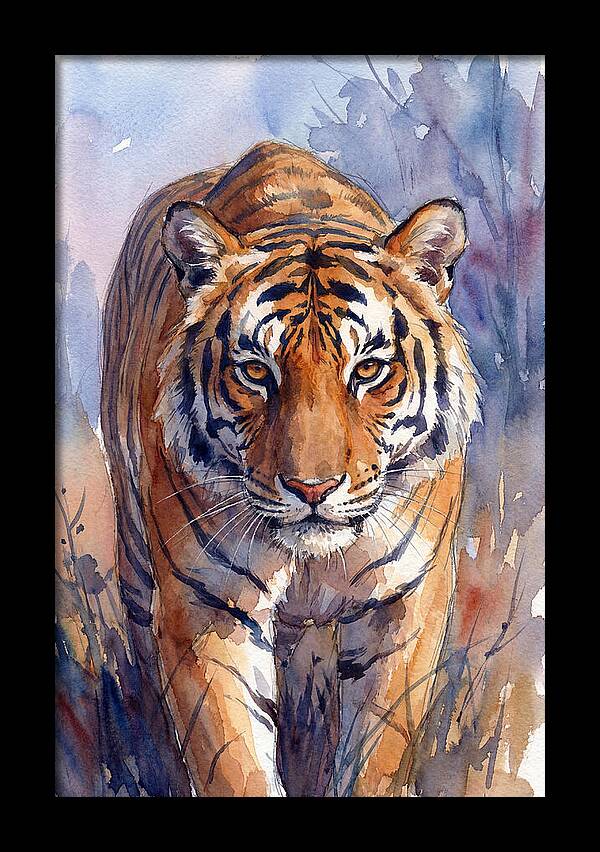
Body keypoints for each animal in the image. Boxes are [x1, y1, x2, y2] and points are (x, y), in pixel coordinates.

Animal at [101, 140, 480, 797]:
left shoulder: (407, 602)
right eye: (256, 372)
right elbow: (234, 761)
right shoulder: (207, 605)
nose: (312, 488)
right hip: (135, 556)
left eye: (368, 370)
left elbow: (377, 750)